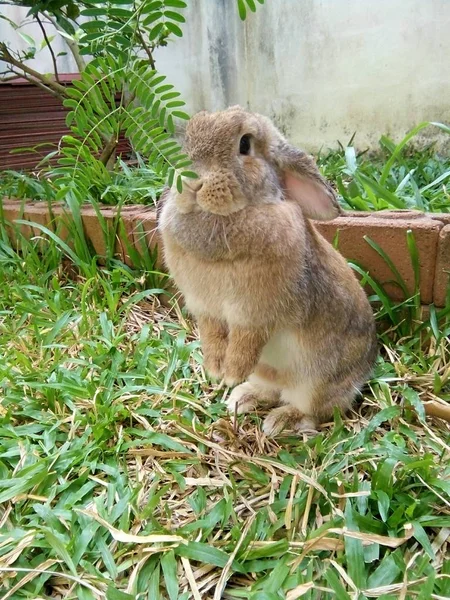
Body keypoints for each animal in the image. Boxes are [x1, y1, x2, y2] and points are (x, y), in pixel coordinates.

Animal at [158, 106, 376, 436]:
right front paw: (215, 368)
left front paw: (231, 373)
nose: (192, 182)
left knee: (314, 410)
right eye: (189, 135)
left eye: (245, 144)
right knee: (272, 390)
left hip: (315, 383)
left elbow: (245, 341)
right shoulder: (206, 310)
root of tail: (363, 373)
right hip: (265, 370)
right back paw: (243, 398)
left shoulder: (254, 315)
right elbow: (211, 335)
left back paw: (280, 421)